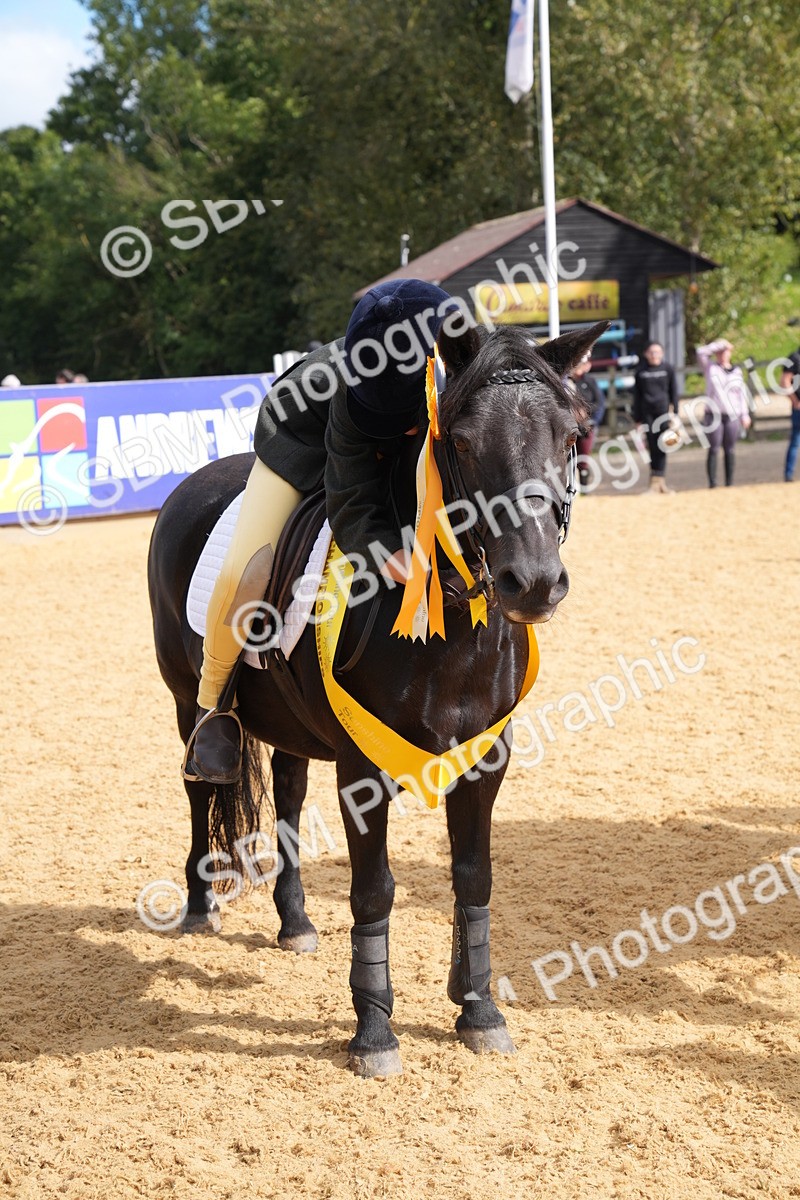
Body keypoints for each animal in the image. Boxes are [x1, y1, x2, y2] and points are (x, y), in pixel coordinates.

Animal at [147, 318, 606, 1077]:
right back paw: (197, 903)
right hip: (187, 702)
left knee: (289, 793)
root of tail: (196, 482)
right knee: (199, 788)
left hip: (292, 725)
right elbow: (375, 889)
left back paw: (295, 921)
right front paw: (374, 1031)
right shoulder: (363, 770)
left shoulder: (486, 760)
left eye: (572, 436)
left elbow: (473, 879)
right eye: (461, 441)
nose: (534, 582)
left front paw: (479, 1009)